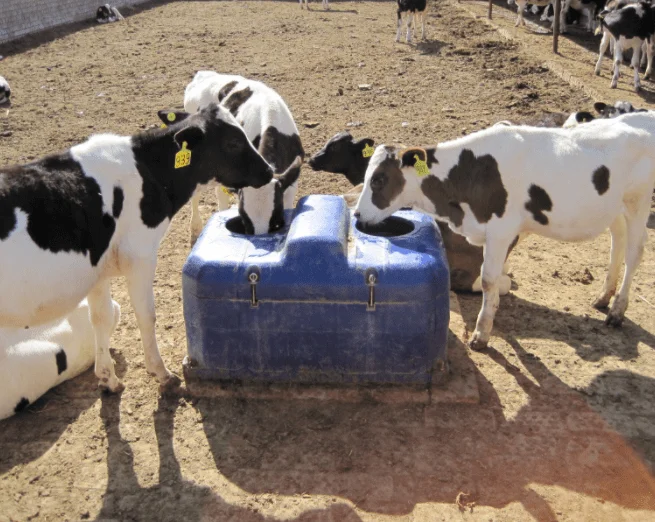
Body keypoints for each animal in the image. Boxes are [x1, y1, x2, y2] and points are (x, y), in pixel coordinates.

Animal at [354, 112, 655, 350]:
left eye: (379, 179)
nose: (356, 214)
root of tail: (643, 116)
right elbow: (496, 279)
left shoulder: (501, 230)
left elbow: (489, 279)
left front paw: (481, 334)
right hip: (614, 207)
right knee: (618, 242)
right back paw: (604, 296)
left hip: (638, 201)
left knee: (635, 250)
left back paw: (617, 311)